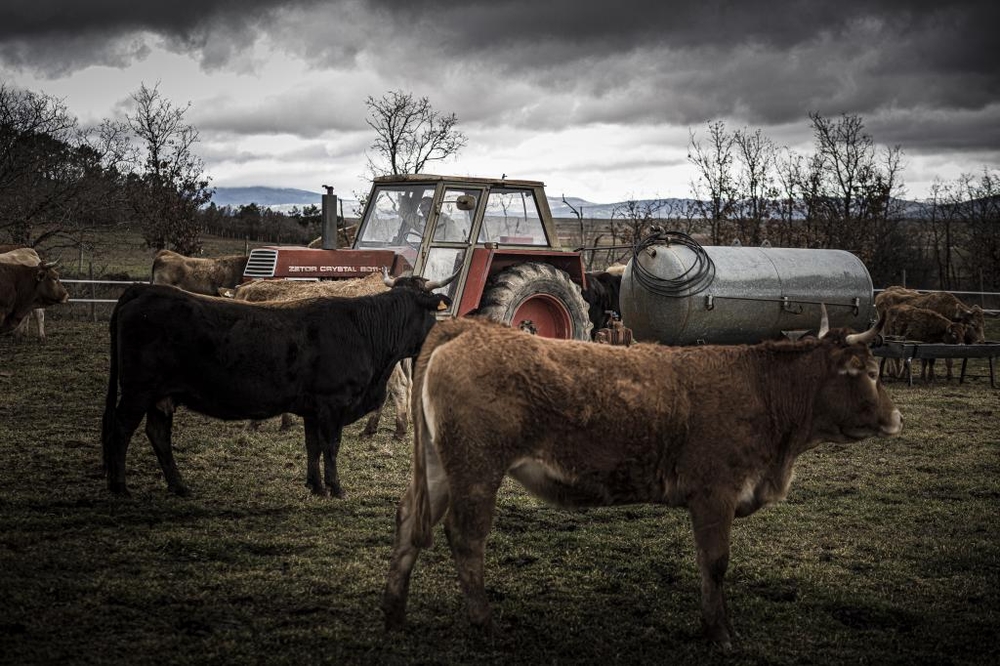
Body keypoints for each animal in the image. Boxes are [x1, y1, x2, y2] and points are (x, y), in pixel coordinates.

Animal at [101, 278, 450, 492]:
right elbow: (331, 446)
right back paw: (120, 487)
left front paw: (316, 486)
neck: (363, 330)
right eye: (432, 314)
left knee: (158, 434)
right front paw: (335, 487)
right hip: (138, 392)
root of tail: (143, 291)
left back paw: (179, 486)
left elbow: (312, 446)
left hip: (160, 396)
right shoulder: (332, 404)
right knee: (120, 430)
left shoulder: (312, 408)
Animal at [382, 314, 900, 644]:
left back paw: (395, 614)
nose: (896, 418)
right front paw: (720, 632)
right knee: (467, 539)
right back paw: (486, 626)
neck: (764, 389)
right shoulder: (714, 494)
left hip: (439, 470)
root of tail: (466, 327)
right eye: (873, 372)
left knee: (408, 522)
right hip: (476, 472)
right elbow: (715, 563)